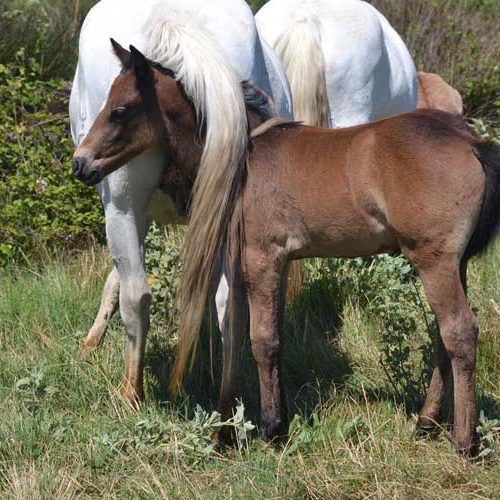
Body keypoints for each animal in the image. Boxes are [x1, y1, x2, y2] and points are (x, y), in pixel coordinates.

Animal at [68, 0, 292, 404]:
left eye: (119, 110)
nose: (81, 163)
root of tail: (172, 21)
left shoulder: (127, 209)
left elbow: (124, 285)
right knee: (229, 304)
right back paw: (227, 394)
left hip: (123, 206)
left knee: (138, 295)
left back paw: (131, 390)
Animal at [73, 42, 500, 458]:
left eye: (120, 109)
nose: (81, 163)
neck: (244, 155)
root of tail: (472, 143)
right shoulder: (267, 262)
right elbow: (264, 334)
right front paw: (257, 425)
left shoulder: (262, 257)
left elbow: (263, 340)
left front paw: (272, 428)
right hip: (455, 264)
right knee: (443, 337)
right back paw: (426, 423)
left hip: (433, 260)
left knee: (460, 332)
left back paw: (464, 441)